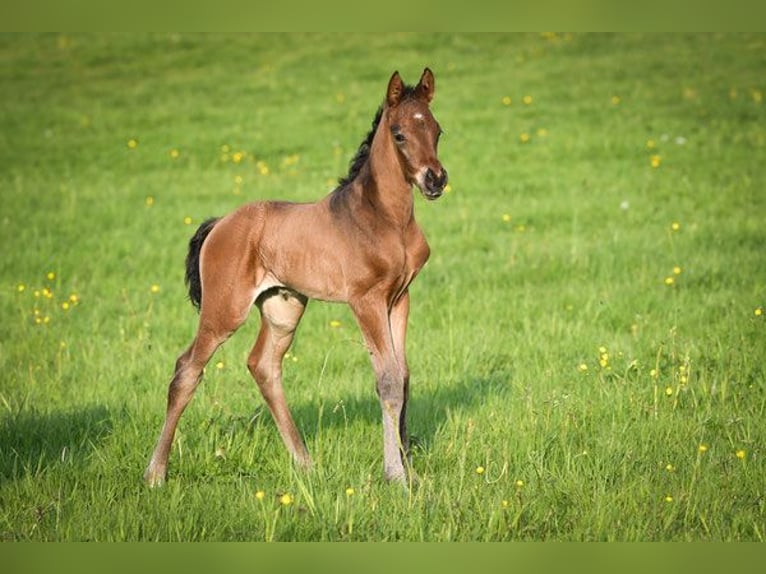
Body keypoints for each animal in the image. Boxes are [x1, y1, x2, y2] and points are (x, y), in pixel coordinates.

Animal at [144, 68, 448, 486]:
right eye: (399, 133)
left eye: (437, 130)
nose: (435, 180)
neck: (384, 219)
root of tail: (220, 223)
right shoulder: (366, 300)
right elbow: (387, 379)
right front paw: (396, 476)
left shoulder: (399, 298)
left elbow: (402, 375)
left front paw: (409, 469)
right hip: (225, 310)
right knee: (187, 369)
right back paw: (155, 472)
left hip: (283, 307)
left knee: (264, 366)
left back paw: (305, 463)